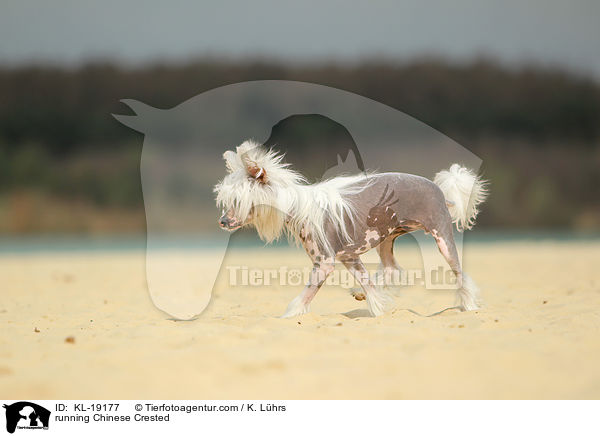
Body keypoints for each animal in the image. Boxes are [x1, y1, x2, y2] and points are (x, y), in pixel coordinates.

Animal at [216, 142, 488, 316]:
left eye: (237, 201)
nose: (222, 222)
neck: (297, 205)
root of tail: (440, 190)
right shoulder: (350, 257)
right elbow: (368, 283)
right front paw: (376, 305)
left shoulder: (324, 263)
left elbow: (303, 297)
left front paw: (290, 315)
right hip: (386, 239)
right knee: (391, 267)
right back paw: (362, 293)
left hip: (442, 238)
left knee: (459, 274)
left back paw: (470, 306)